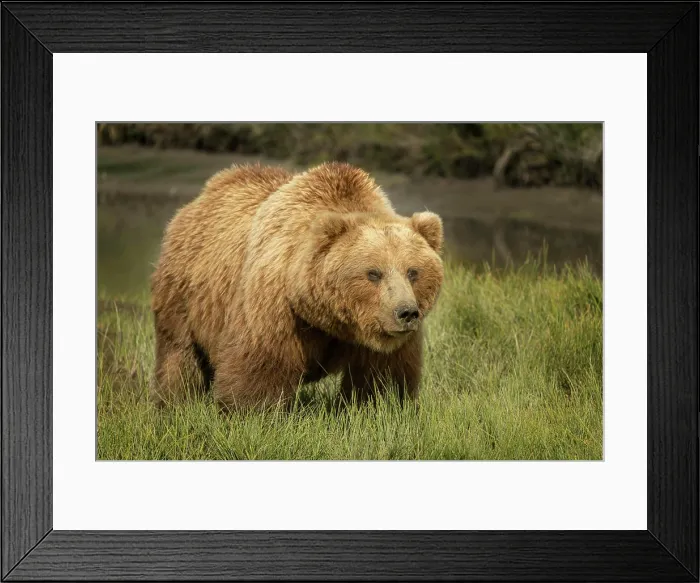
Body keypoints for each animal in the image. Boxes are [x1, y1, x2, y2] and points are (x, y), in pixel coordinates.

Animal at [150, 161, 444, 412]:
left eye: (413, 272)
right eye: (373, 273)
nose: (406, 312)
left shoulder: (383, 338)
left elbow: (382, 374)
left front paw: (380, 406)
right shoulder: (276, 303)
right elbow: (262, 362)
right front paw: (252, 412)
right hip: (185, 292)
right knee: (180, 355)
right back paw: (175, 402)